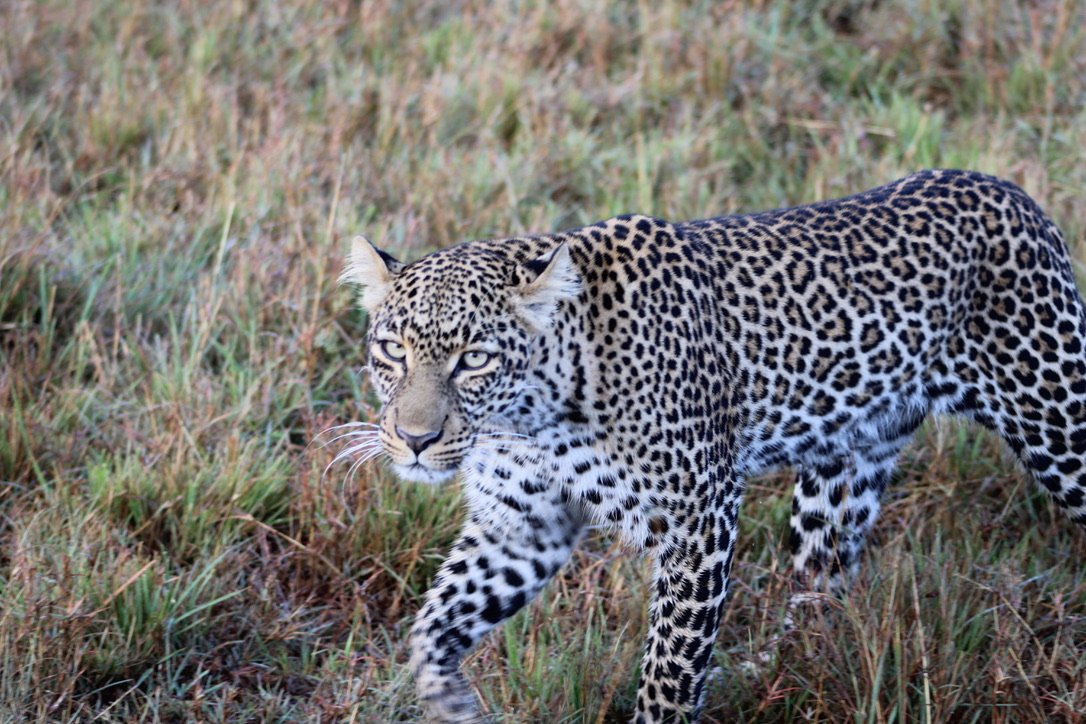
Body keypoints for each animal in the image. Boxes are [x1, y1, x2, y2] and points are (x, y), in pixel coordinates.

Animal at [340, 169, 1086, 722]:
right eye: (392, 349)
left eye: (474, 359)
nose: (414, 440)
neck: (532, 417)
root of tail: (1009, 190)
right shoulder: (521, 523)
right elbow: (434, 625)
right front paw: (451, 704)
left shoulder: (698, 519)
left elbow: (669, 669)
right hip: (840, 472)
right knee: (821, 595)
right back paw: (768, 673)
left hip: (1057, 417)